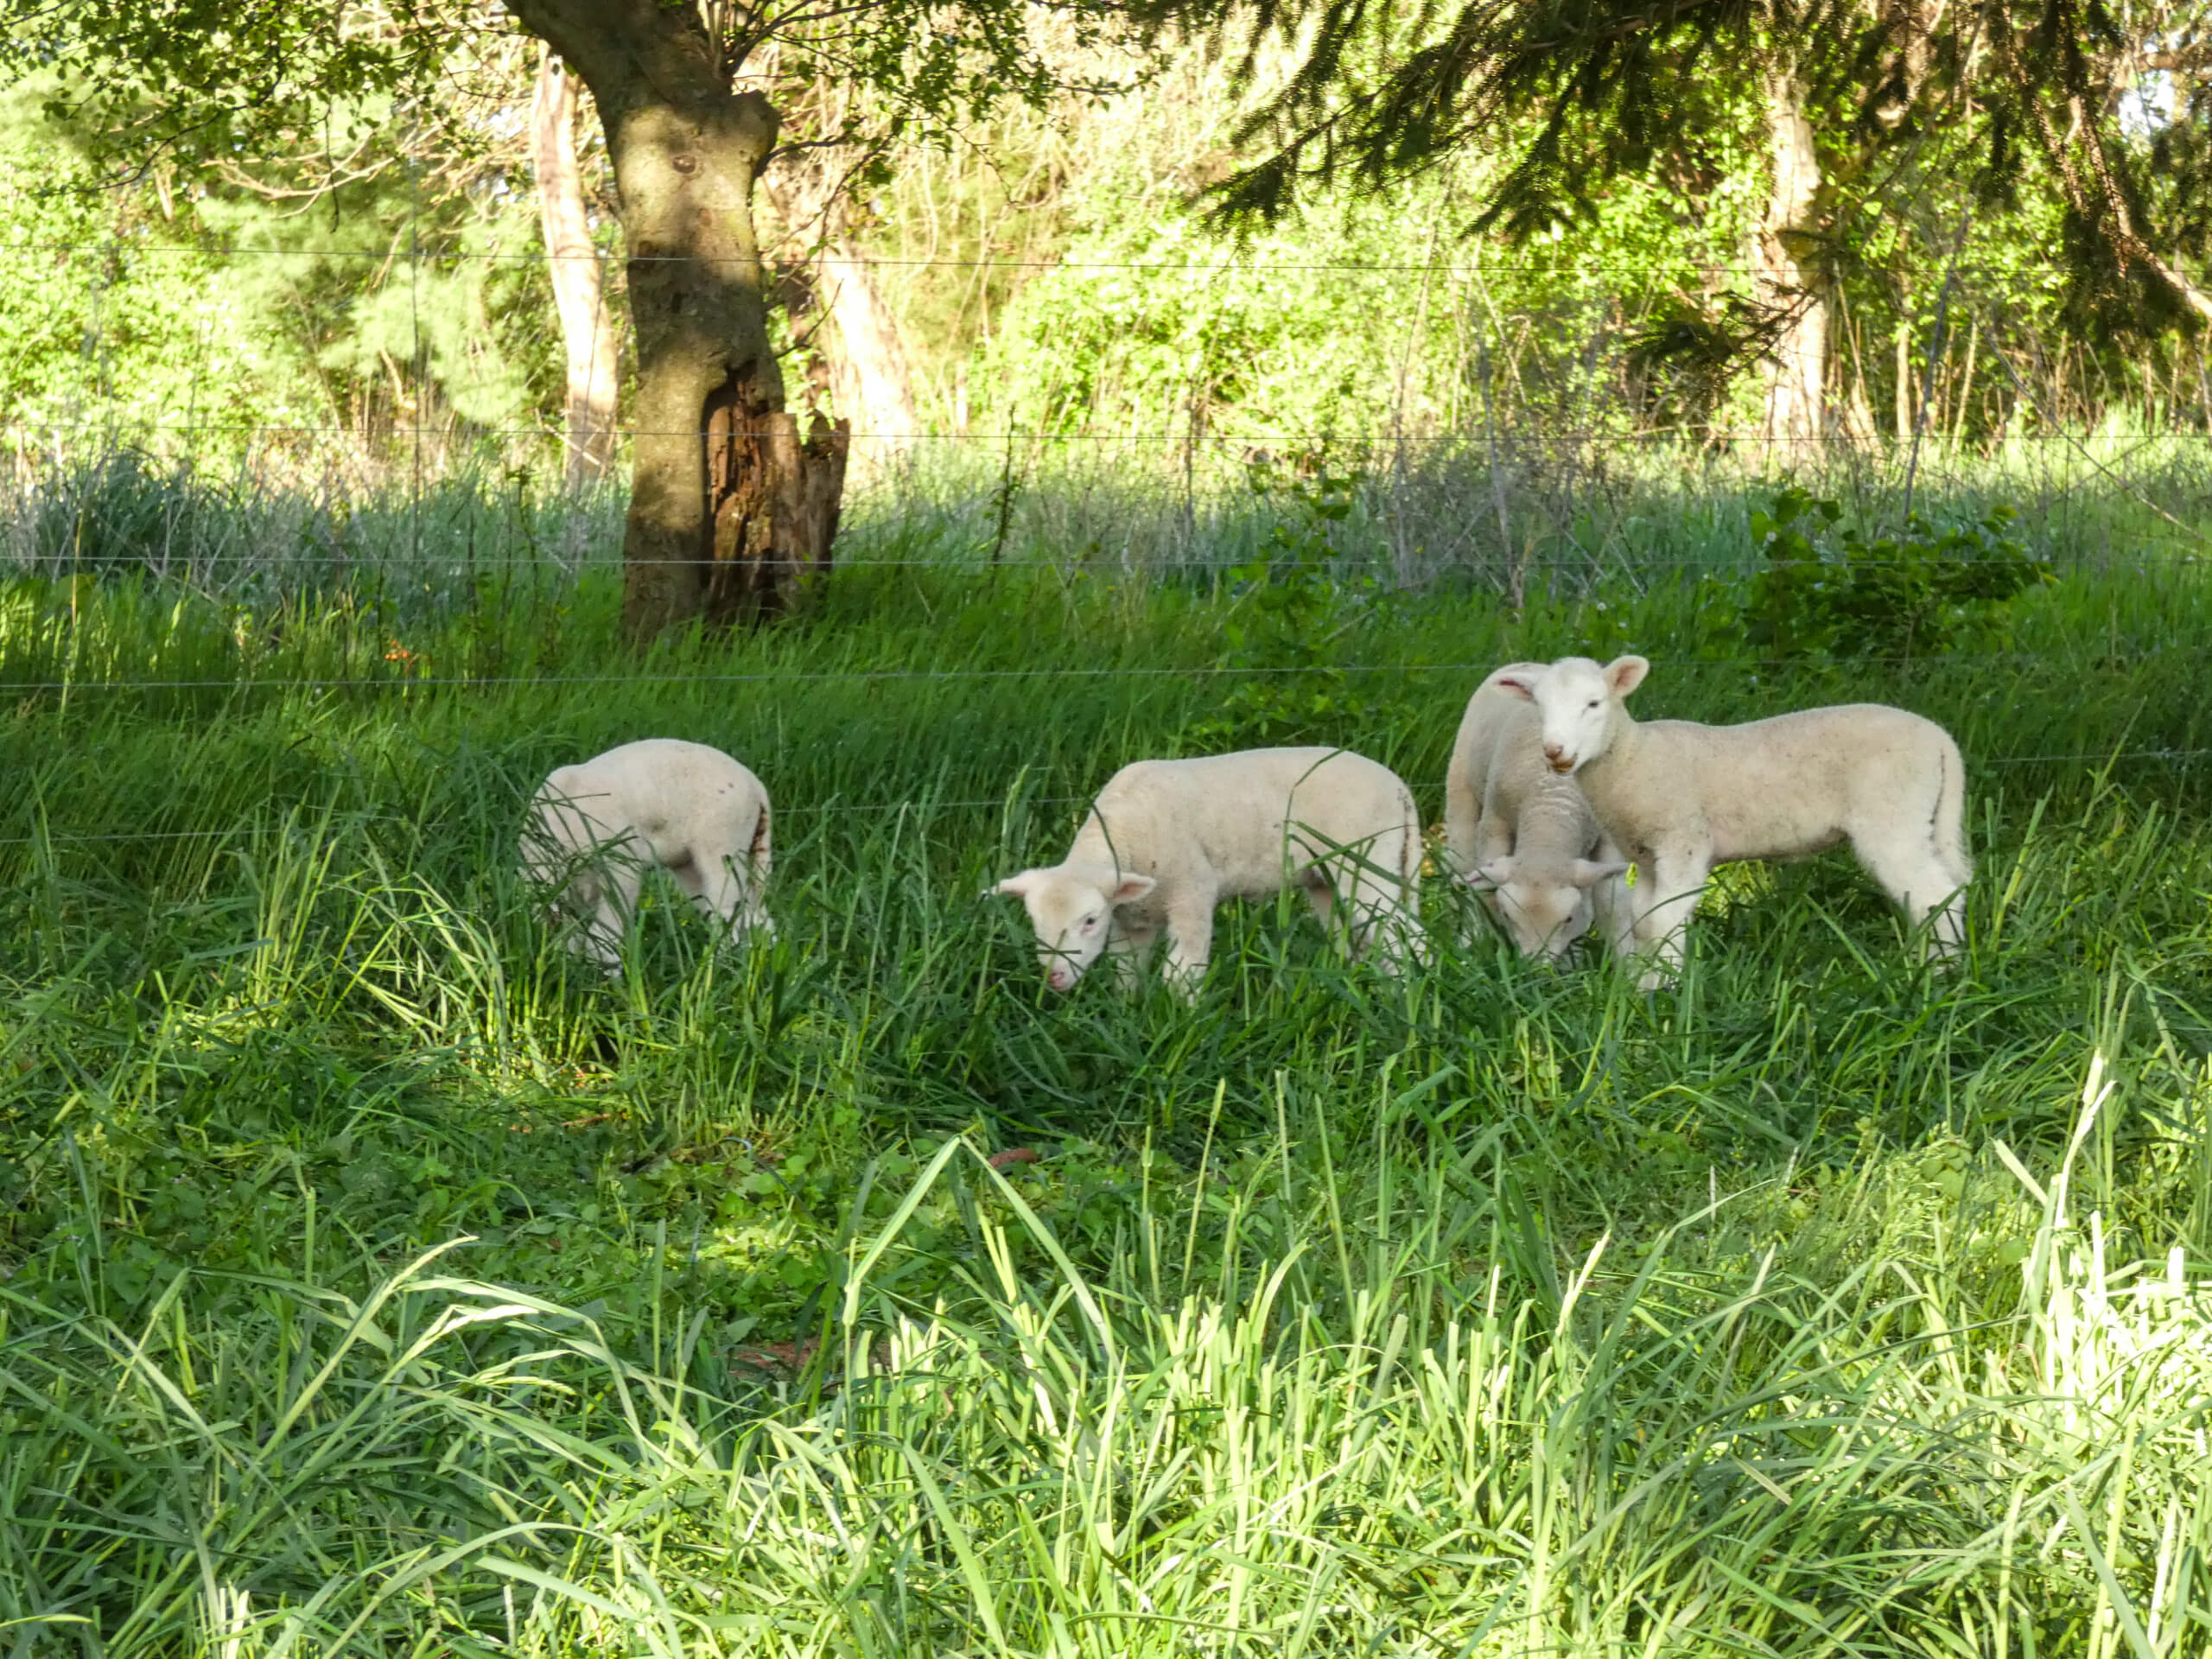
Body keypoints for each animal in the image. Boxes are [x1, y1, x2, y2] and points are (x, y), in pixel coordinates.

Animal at [522, 738, 772, 972]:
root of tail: (757, 787)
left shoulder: (622, 863)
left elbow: (607, 926)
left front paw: (606, 970)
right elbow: (576, 931)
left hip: (723, 846)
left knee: (730, 914)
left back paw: (723, 965)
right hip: (692, 866)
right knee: (756, 916)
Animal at [991, 746, 1424, 997]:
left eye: (1090, 921)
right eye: (1034, 921)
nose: (1053, 978)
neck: (1123, 835)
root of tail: (1400, 788)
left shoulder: (1192, 894)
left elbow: (1181, 974)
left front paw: (1182, 1023)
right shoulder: (1133, 921)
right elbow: (1126, 974)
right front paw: (1127, 1018)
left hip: (1370, 862)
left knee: (1407, 939)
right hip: (1325, 879)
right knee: (1357, 940)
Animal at [1444, 663, 1632, 959]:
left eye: (1567, 918)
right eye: (1508, 916)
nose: (1537, 967)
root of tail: (1526, 664)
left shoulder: (1607, 838)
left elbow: (1613, 905)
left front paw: (1631, 966)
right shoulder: (1495, 824)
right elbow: (1486, 894)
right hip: (1461, 788)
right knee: (1463, 867)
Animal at [1495, 655, 1970, 983]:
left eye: (1593, 704)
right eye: (1539, 709)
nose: (1554, 752)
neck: (1634, 756)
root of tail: (1941, 739)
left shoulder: (1683, 842)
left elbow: (1664, 921)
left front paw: (1667, 994)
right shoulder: (1648, 857)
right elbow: (1647, 920)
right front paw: (1646, 986)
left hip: (1891, 818)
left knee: (1933, 895)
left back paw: (1936, 976)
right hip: (1922, 819)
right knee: (1952, 886)